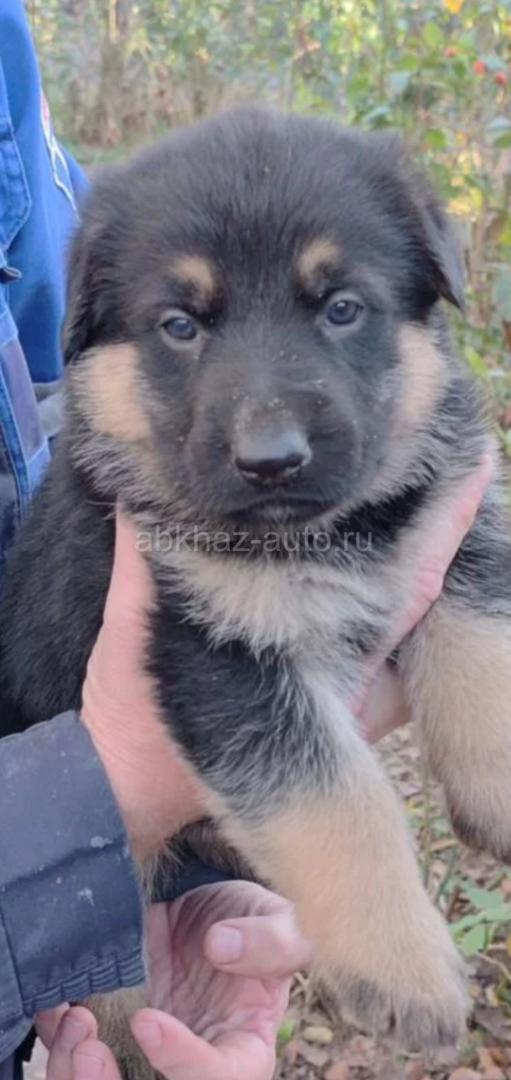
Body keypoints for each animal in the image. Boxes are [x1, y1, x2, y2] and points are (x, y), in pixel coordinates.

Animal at [1, 107, 511, 1078]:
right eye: (179, 325)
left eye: (341, 308)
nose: (271, 459)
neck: (326, 531)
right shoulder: (212, 649)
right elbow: (336, 799)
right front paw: (404, 971)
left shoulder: (452, 519)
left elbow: (481, 643)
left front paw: (499, 792)